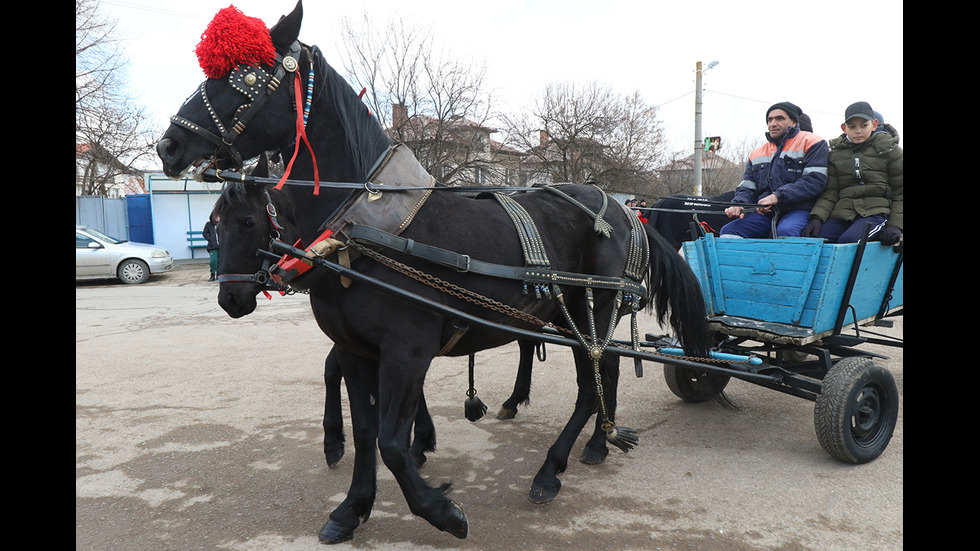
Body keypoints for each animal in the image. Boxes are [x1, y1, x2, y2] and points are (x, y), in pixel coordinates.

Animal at [159, 1, 712, 544]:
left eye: (244, 77)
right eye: (214, 225)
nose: (169, 145)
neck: (361, 233)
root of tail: (623, 210)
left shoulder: (408, 350)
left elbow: (391, 441)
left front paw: (440, 509)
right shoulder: (357, 350)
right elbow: (366, 431)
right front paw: (353, 506)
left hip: (592, 307)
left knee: (593, 379)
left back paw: (553, 468)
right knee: (604, 370)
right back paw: (597, 442)